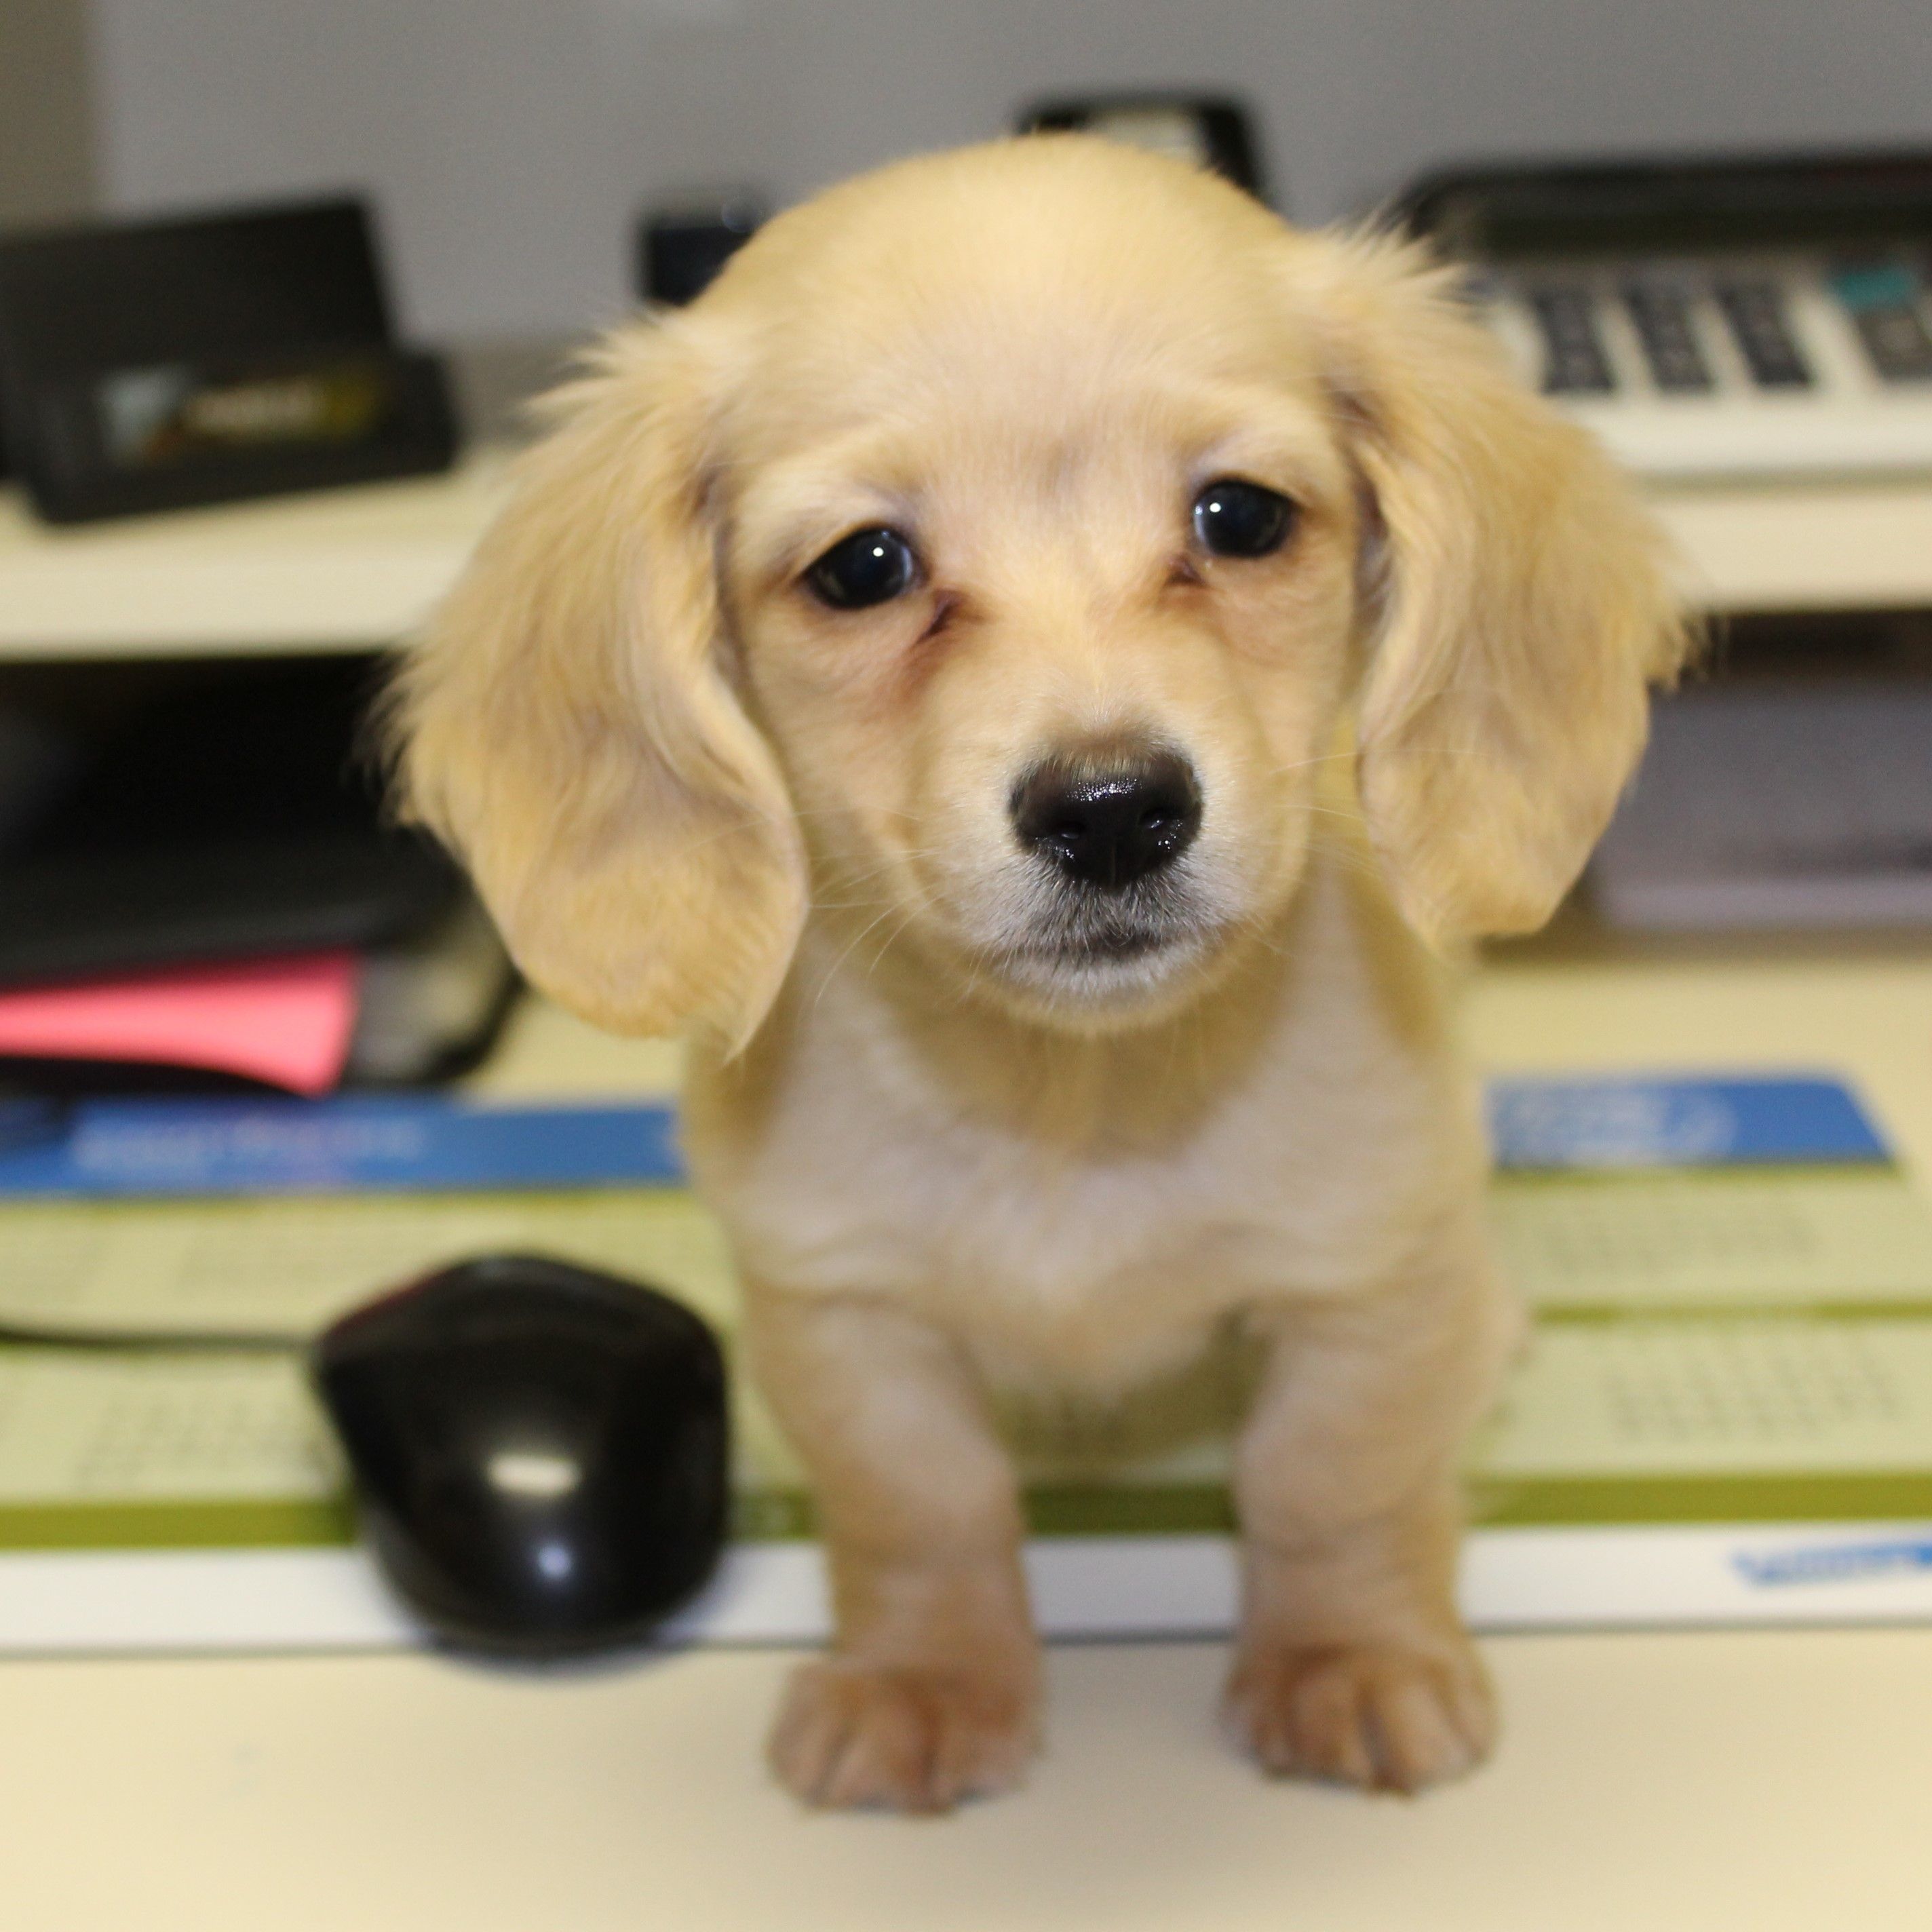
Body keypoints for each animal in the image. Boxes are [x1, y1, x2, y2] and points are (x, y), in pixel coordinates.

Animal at [395, 140, 1692, 1808]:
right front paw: (927, 1678)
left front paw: (1345, 1657)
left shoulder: (1367, 1277)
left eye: (1240, 517)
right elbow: (923, 1510)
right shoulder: (840, 1308)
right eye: (864, 567)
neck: (1074, 1105)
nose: (1114, 809)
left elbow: (1327, 1480)